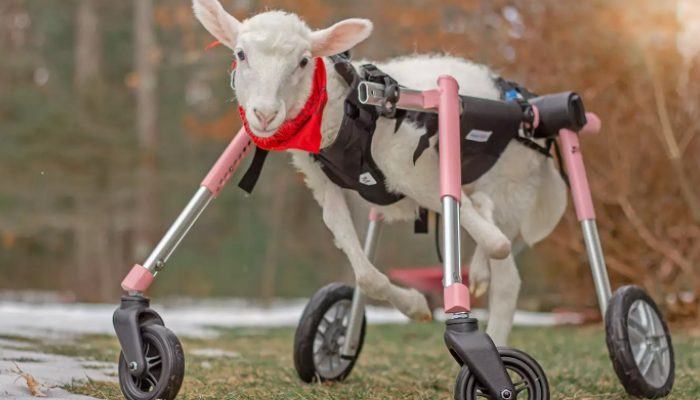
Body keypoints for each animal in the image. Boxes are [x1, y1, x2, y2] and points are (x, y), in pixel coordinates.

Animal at [193, 0, 568, 346]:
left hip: (514, 181)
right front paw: (415, 306)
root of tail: (522, 102)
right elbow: (364, 273)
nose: (265, 114)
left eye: (303, 61)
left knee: (505, 267)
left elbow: (494, 240)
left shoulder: (413, 167)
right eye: (241, 54)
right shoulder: (322, 182)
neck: (342, 109)